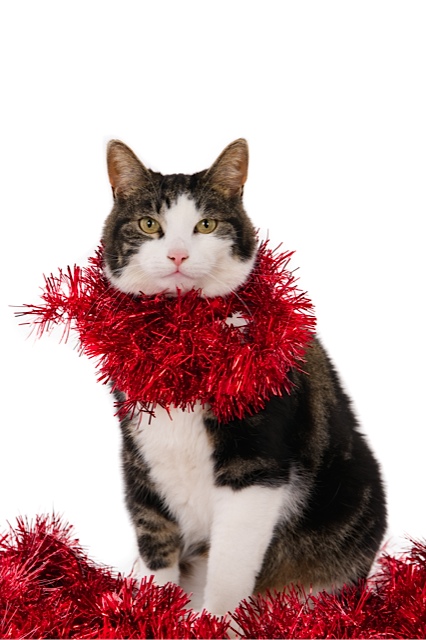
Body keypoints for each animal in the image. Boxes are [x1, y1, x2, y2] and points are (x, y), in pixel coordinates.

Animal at [102, 139, 386, 616]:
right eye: (148, 224)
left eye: (206, 224)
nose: (178, 254)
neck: (182, 339)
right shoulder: (139, 448)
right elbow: (154, 533)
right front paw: (152, 616)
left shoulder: (255, 465)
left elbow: (230, 568)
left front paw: (214, 622)